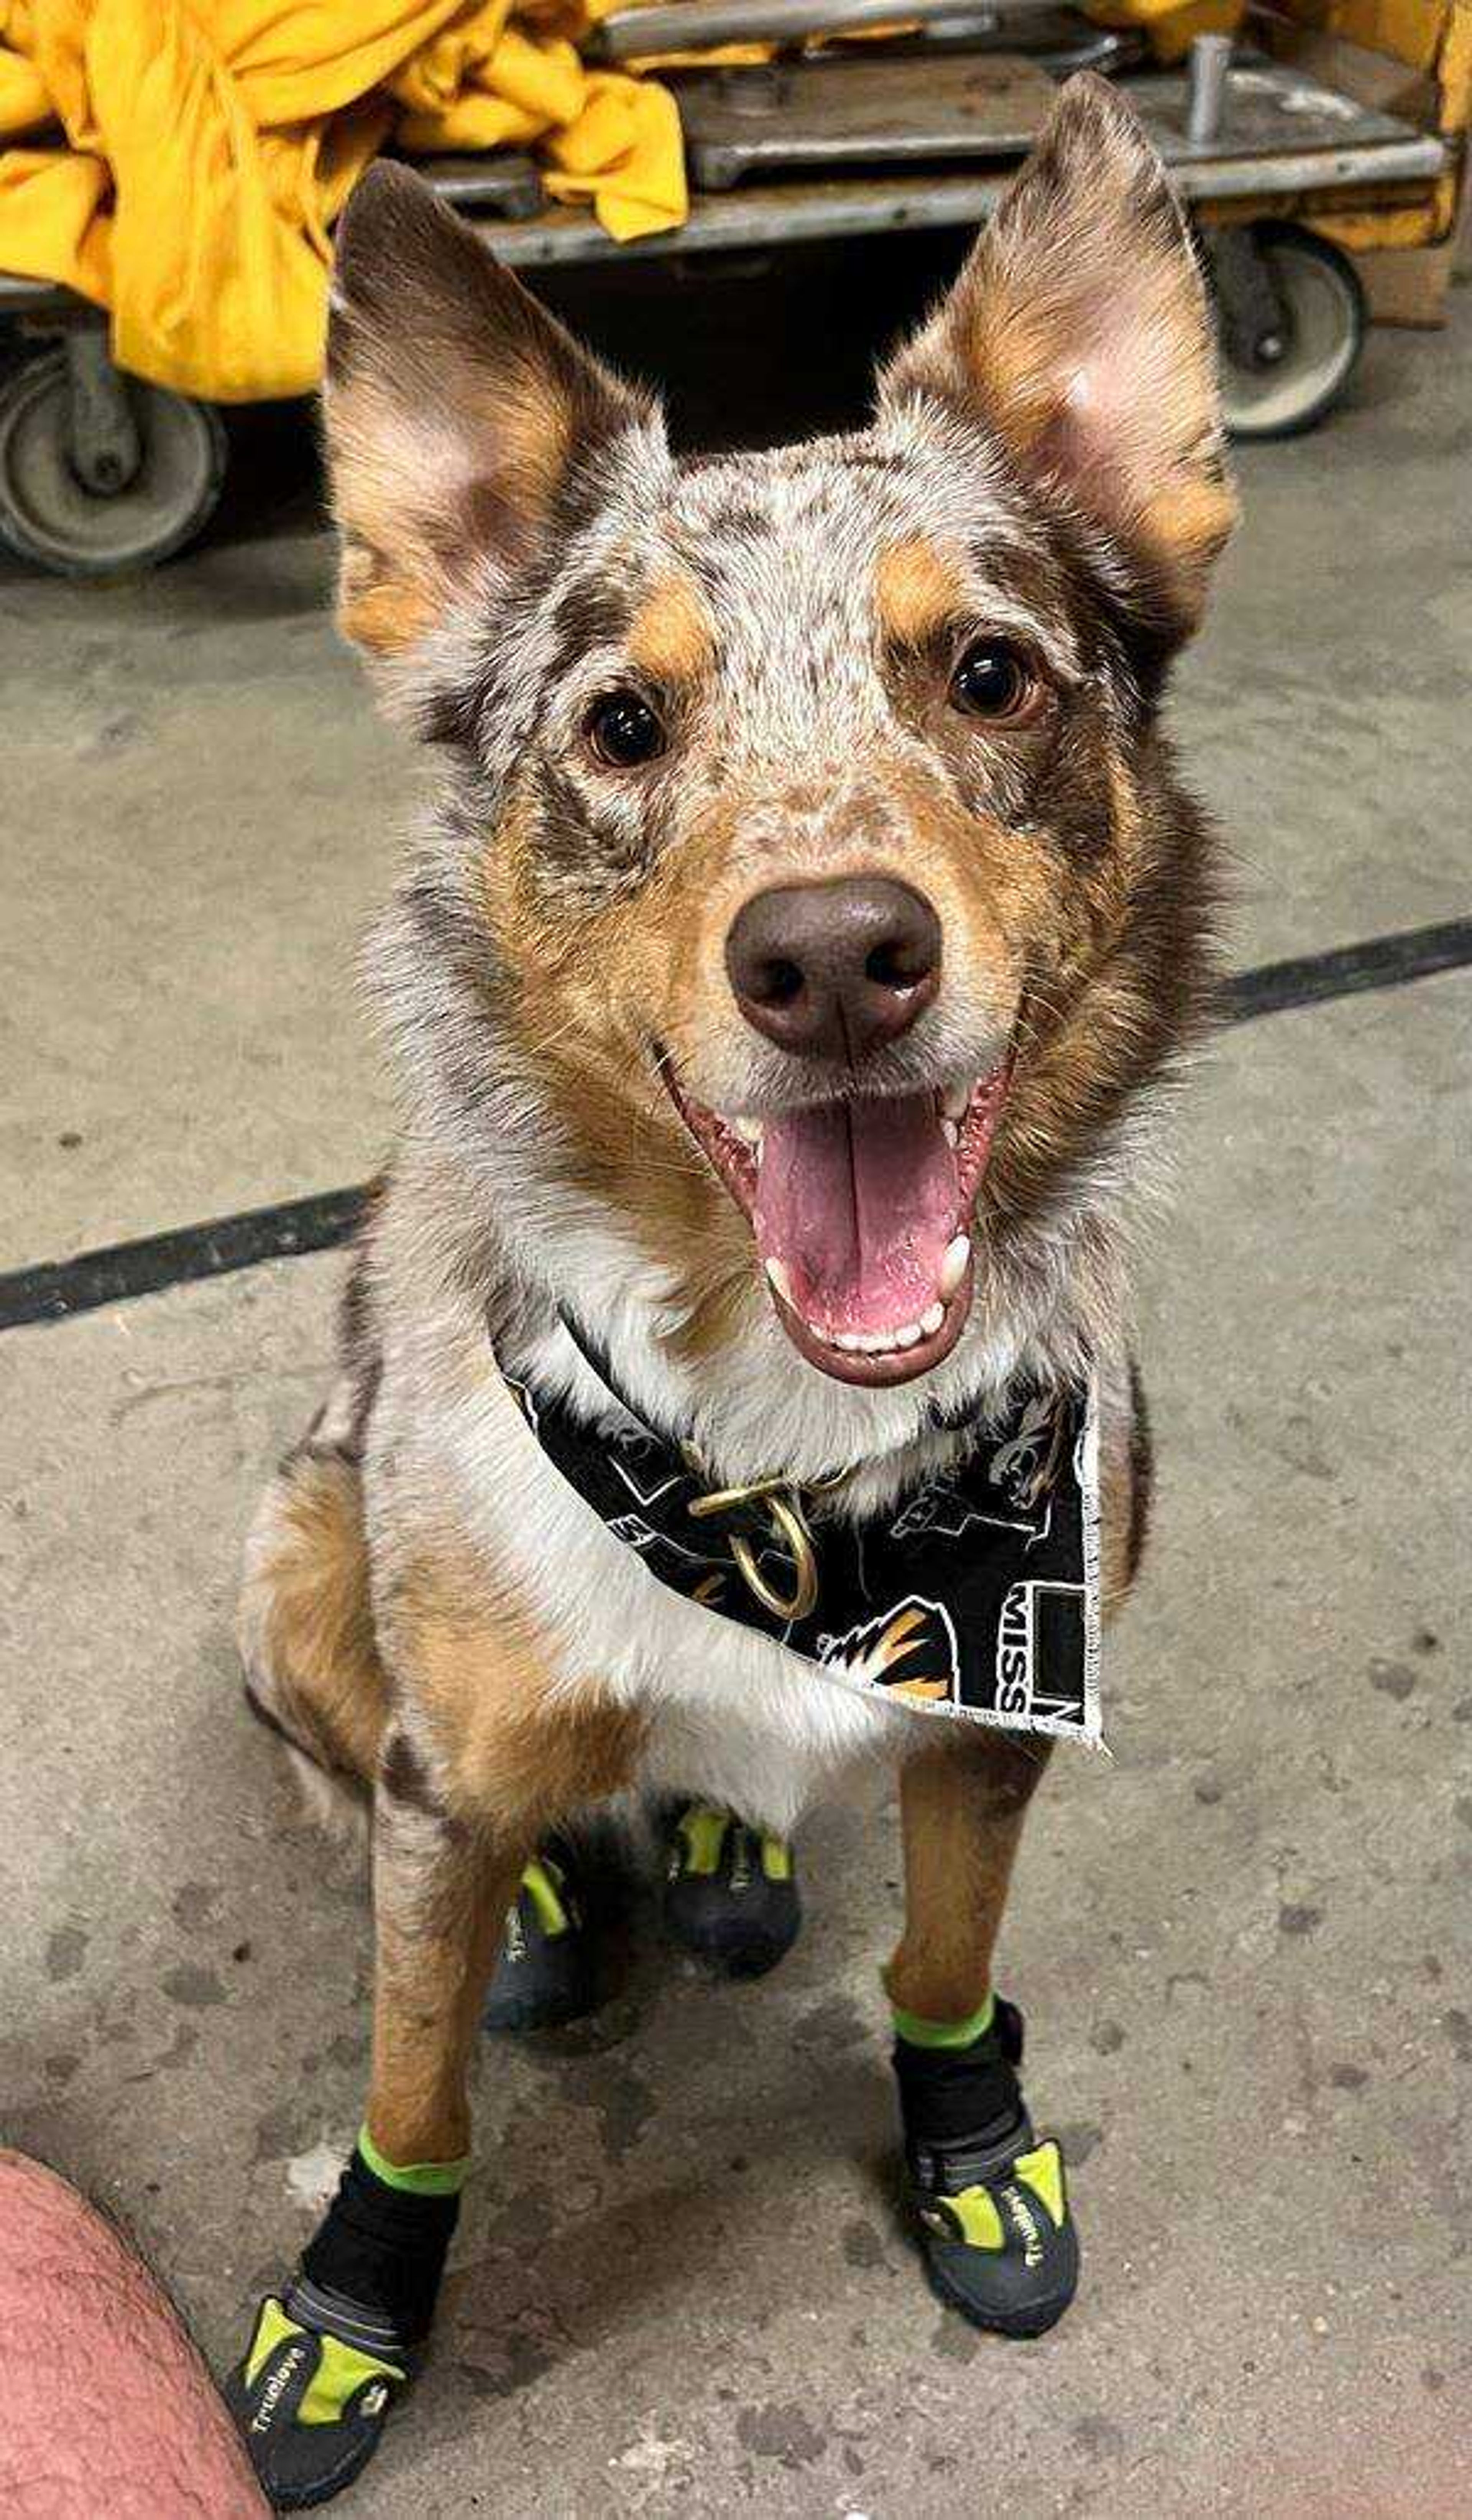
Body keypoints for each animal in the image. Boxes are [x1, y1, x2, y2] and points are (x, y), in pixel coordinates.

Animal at [229, 74, 1235, 2500]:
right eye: (619, 726)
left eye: (990, 672)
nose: (837, 956)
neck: (787, 1468)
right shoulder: (448, 1770)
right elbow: (413, 2075)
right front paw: (354, 2306)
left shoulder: (986, 1727)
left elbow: (941, 1974)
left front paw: (970, 2142)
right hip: (296, 1553)